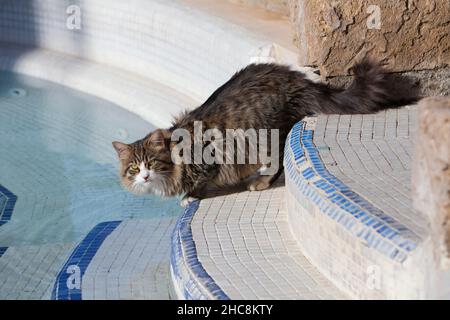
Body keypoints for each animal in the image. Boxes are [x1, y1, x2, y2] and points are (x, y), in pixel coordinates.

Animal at [114, 59, 416, 206]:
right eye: (133, 168)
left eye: (151, 163)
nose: (143, 176)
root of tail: (298, 80)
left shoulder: (210, 157)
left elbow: (201, 183)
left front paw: (190, 197)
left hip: (266, 135)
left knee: (278, 162)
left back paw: (260, 181)